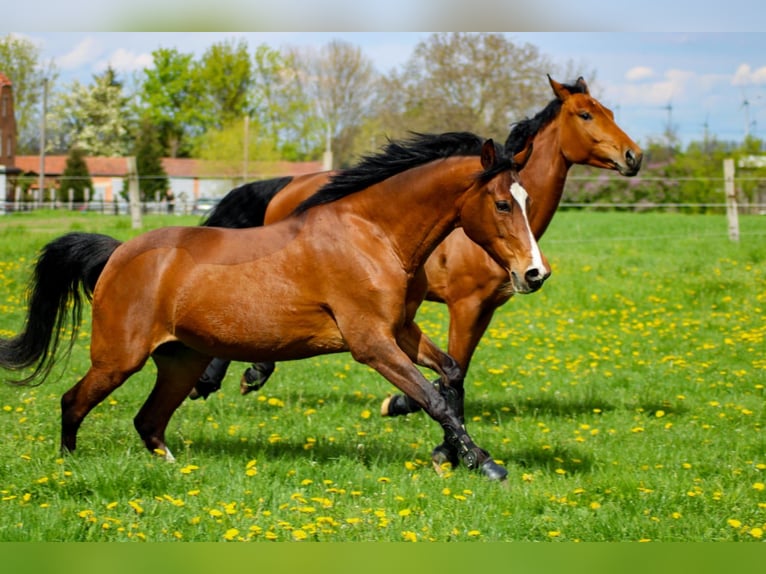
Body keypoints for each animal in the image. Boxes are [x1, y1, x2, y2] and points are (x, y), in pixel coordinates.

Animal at [0, 134, 552, 482]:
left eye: (526, 200)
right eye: (503, 204)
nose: (534, 273)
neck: (374, 235)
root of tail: (117, 253)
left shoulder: (402, 330)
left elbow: (451, 375)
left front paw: (452, 455)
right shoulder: (371, 343)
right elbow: (433, 397)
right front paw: (485, 464)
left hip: (181, 361)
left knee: (148, 421)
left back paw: (174, 469)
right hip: (119, 358)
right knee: (73, 402)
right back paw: (69, 467)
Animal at [190, 75, 640, 468]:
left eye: (611, 111)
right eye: (586, 114)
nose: (633, 157)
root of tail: (285, 185)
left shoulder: (481, 309)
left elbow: (453, 372)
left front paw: (439, 437)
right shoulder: (465, 306)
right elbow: (452, 375)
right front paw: (439, 440)